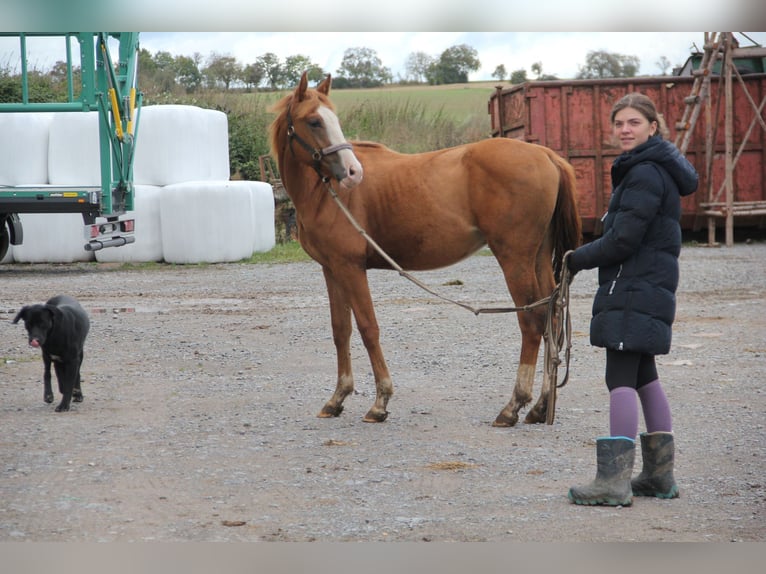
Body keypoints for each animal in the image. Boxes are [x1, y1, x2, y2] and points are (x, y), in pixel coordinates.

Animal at [270, 73, 584, 428]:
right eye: (314, 121)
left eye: (332, 120)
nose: (353, 173)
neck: (325, 193)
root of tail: (546, 155)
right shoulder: (331, 269)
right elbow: (341, 331)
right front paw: (337, 398)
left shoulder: (350, 267)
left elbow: (368, 328)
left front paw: (380, 401)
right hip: (538, 258)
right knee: (551, 320)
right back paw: (541, 406)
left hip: (514, 259)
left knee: (532, 322)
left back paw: (513, 406)